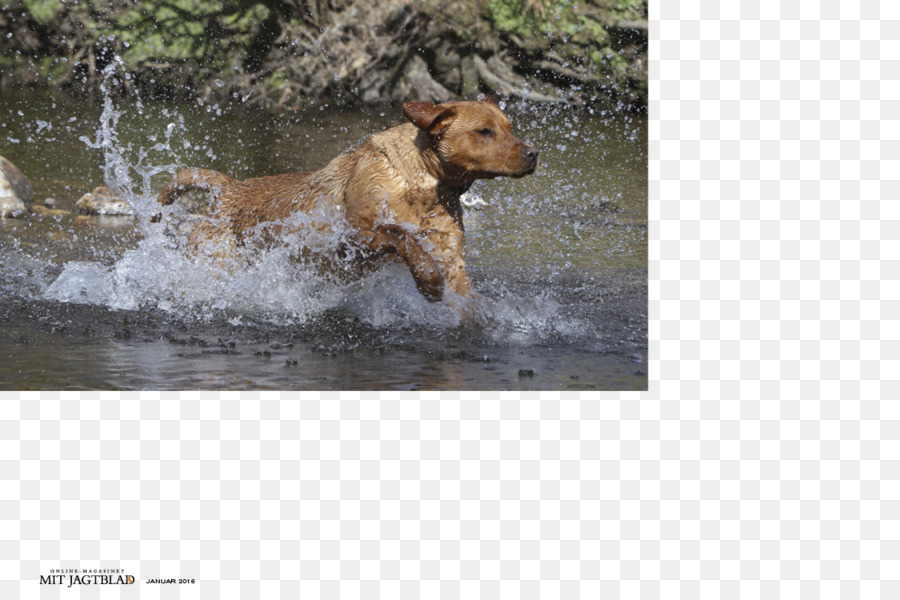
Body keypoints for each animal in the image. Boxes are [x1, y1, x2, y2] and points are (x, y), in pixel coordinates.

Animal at [156, 101, 536, 304]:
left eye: (509, 127)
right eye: (484, 131)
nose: (533, 153)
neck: (425, 185)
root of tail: (230, 189)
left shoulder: (451, 254)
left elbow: (465, 298)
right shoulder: (352, 233)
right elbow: (402, 235)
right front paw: (428, 281)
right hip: (215, 262)